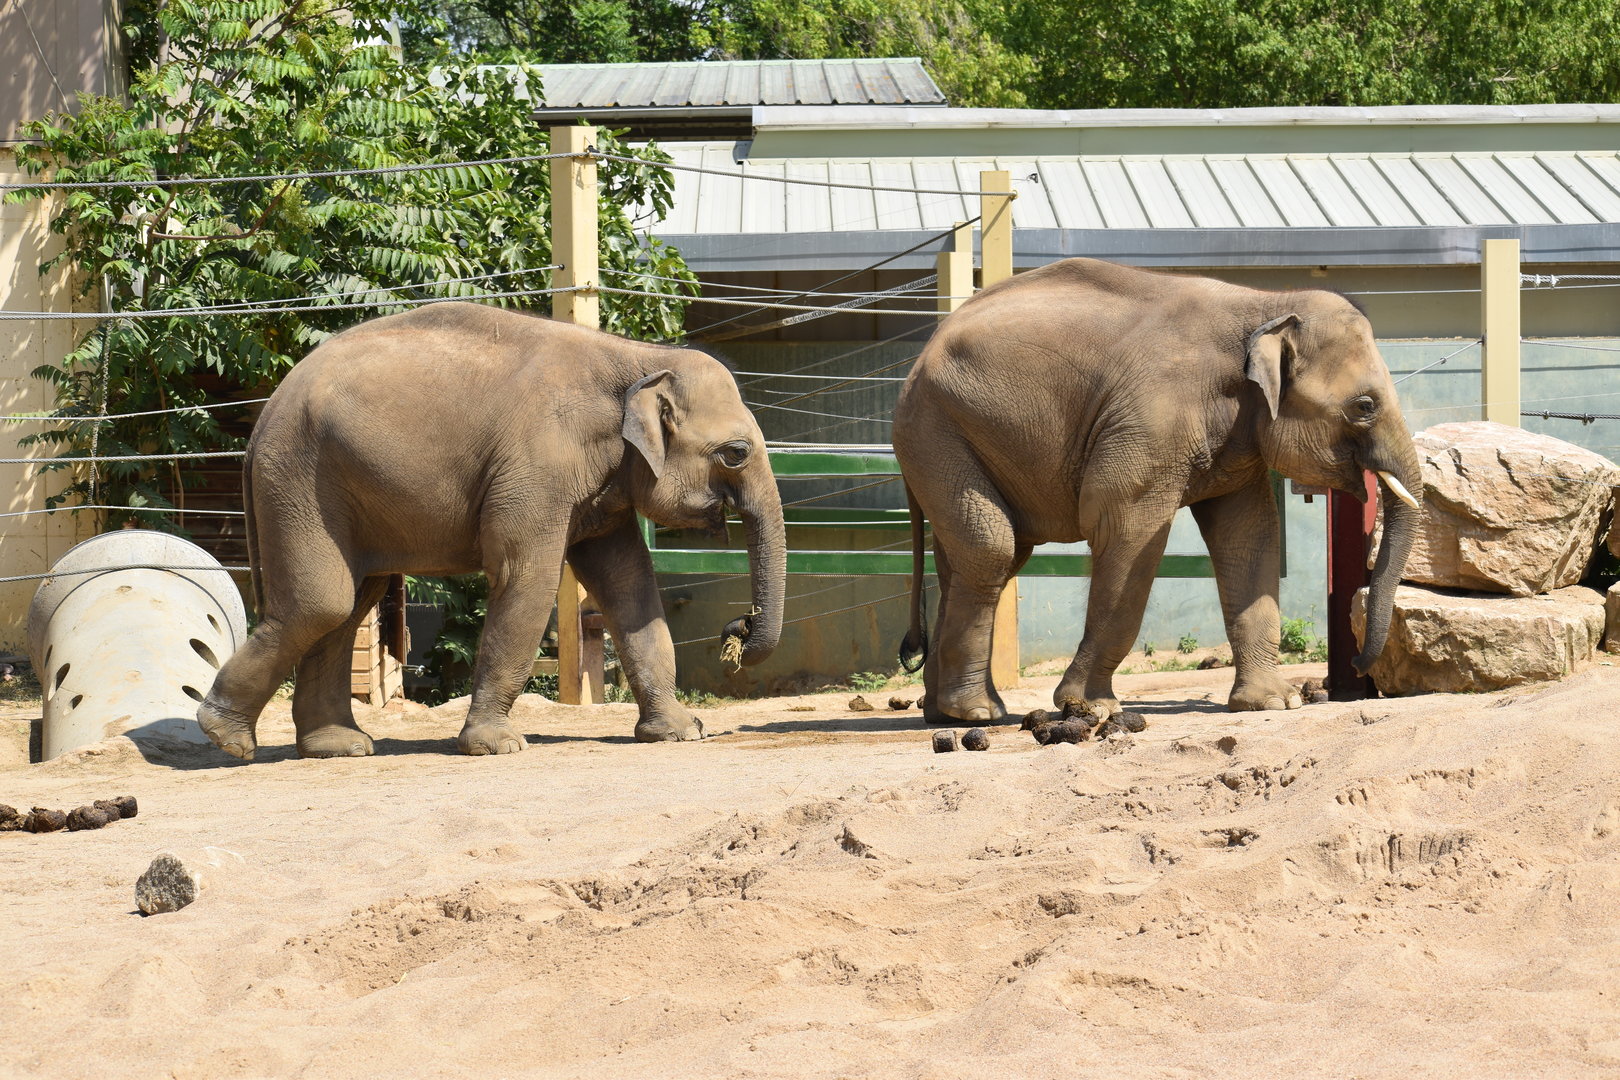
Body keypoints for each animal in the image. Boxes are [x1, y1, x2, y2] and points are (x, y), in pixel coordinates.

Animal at [197, 302, 785, 759]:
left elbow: (629, 585)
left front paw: (682, 734)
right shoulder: (536, 467)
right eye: (736, 453)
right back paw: (226, 737)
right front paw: (496, 746)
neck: (638, 358)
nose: (738, 626)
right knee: (324, 602)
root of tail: (262, 418)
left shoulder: (605, 483)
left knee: (349, 605)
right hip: (300, 478)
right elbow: (527, 578)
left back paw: (336, 747)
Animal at [892, 257, 1422, 726]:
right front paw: (1090, 708)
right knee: (993, 550)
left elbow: (1249, 537)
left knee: (974, 558)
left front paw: (1275, 704)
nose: (1355, 666)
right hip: (938, 431)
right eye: (1364, 406)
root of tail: (916, 363)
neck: (1265, 303)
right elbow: (1126, 532)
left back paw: (943, 713)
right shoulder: (1151, 421)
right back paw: (978, 713)